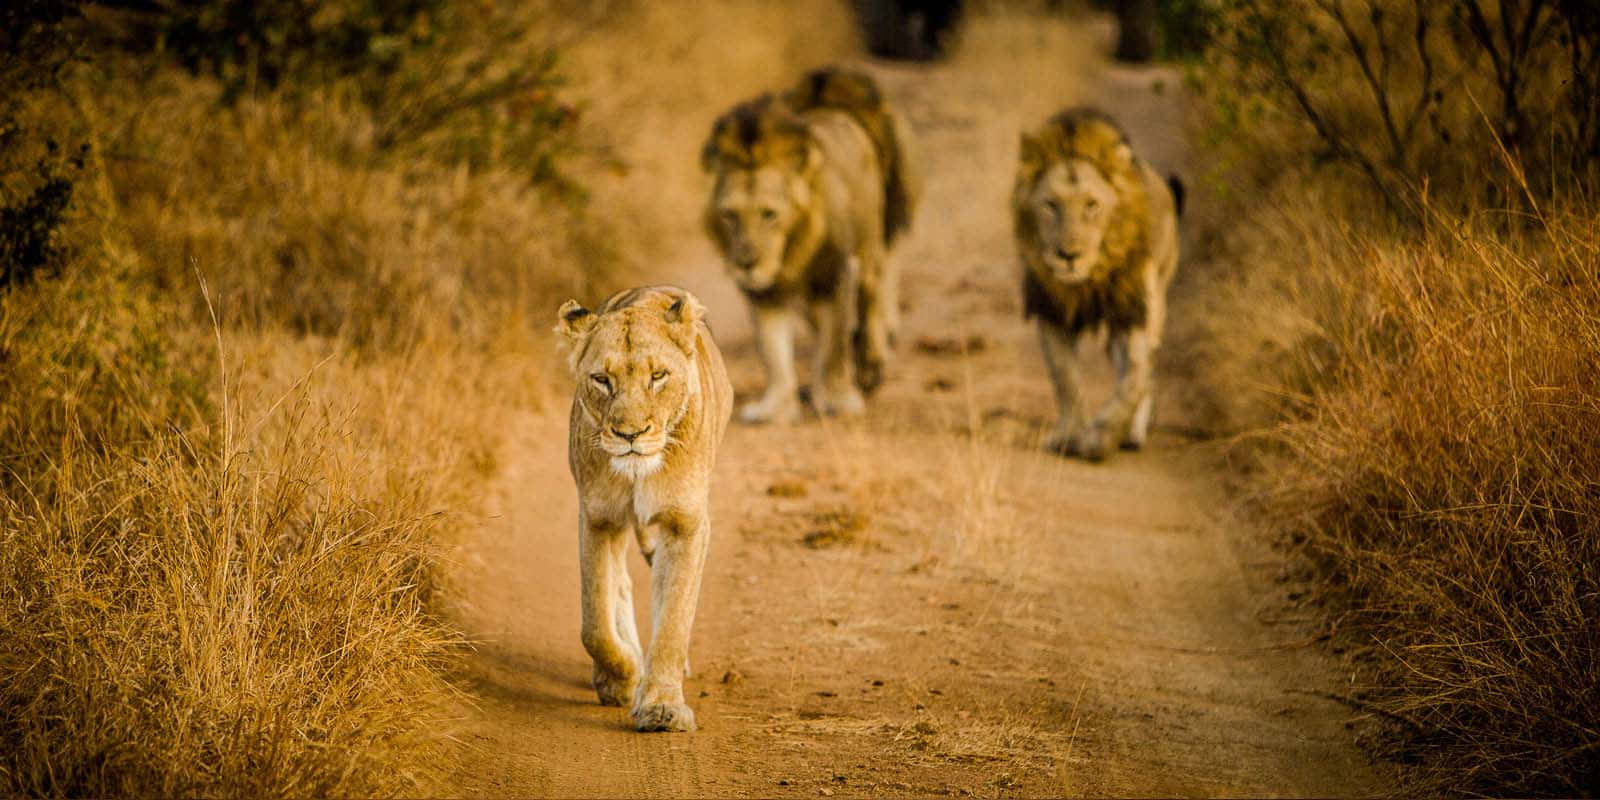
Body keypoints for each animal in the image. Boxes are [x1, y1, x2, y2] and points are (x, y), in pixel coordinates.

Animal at [555, 285, 734, 732]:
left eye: (658, 377)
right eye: (602, 380)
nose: (630, 434)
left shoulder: (686, 524)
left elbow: (673, 620)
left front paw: (662, 706)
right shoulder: (597, 518)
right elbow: (594, 623)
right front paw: (622, 678)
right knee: (619, 585)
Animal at [702, 66, 920, 424]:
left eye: (769, 214)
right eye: (730, 215)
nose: (746, 264)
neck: (790, 252)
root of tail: (833, 104)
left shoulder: (834, 276)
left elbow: (833, 347)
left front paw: (838, 399)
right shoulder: (765, 292)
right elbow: (772, 350)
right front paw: (775, 406)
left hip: (868, 247)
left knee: (871, 300)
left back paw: (871, 363)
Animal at [1013, 107, 1183, 461]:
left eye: (1092, 204)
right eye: (1050, 205)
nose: (1068, 255)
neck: (1088, 279)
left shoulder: (1132, 308)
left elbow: (1134, 378)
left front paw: (1102, 436)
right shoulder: (1052, 309)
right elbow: (1065, 378)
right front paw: (1070, 436)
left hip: (1156, 295)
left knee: (1145, 367)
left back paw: (1131, 433)